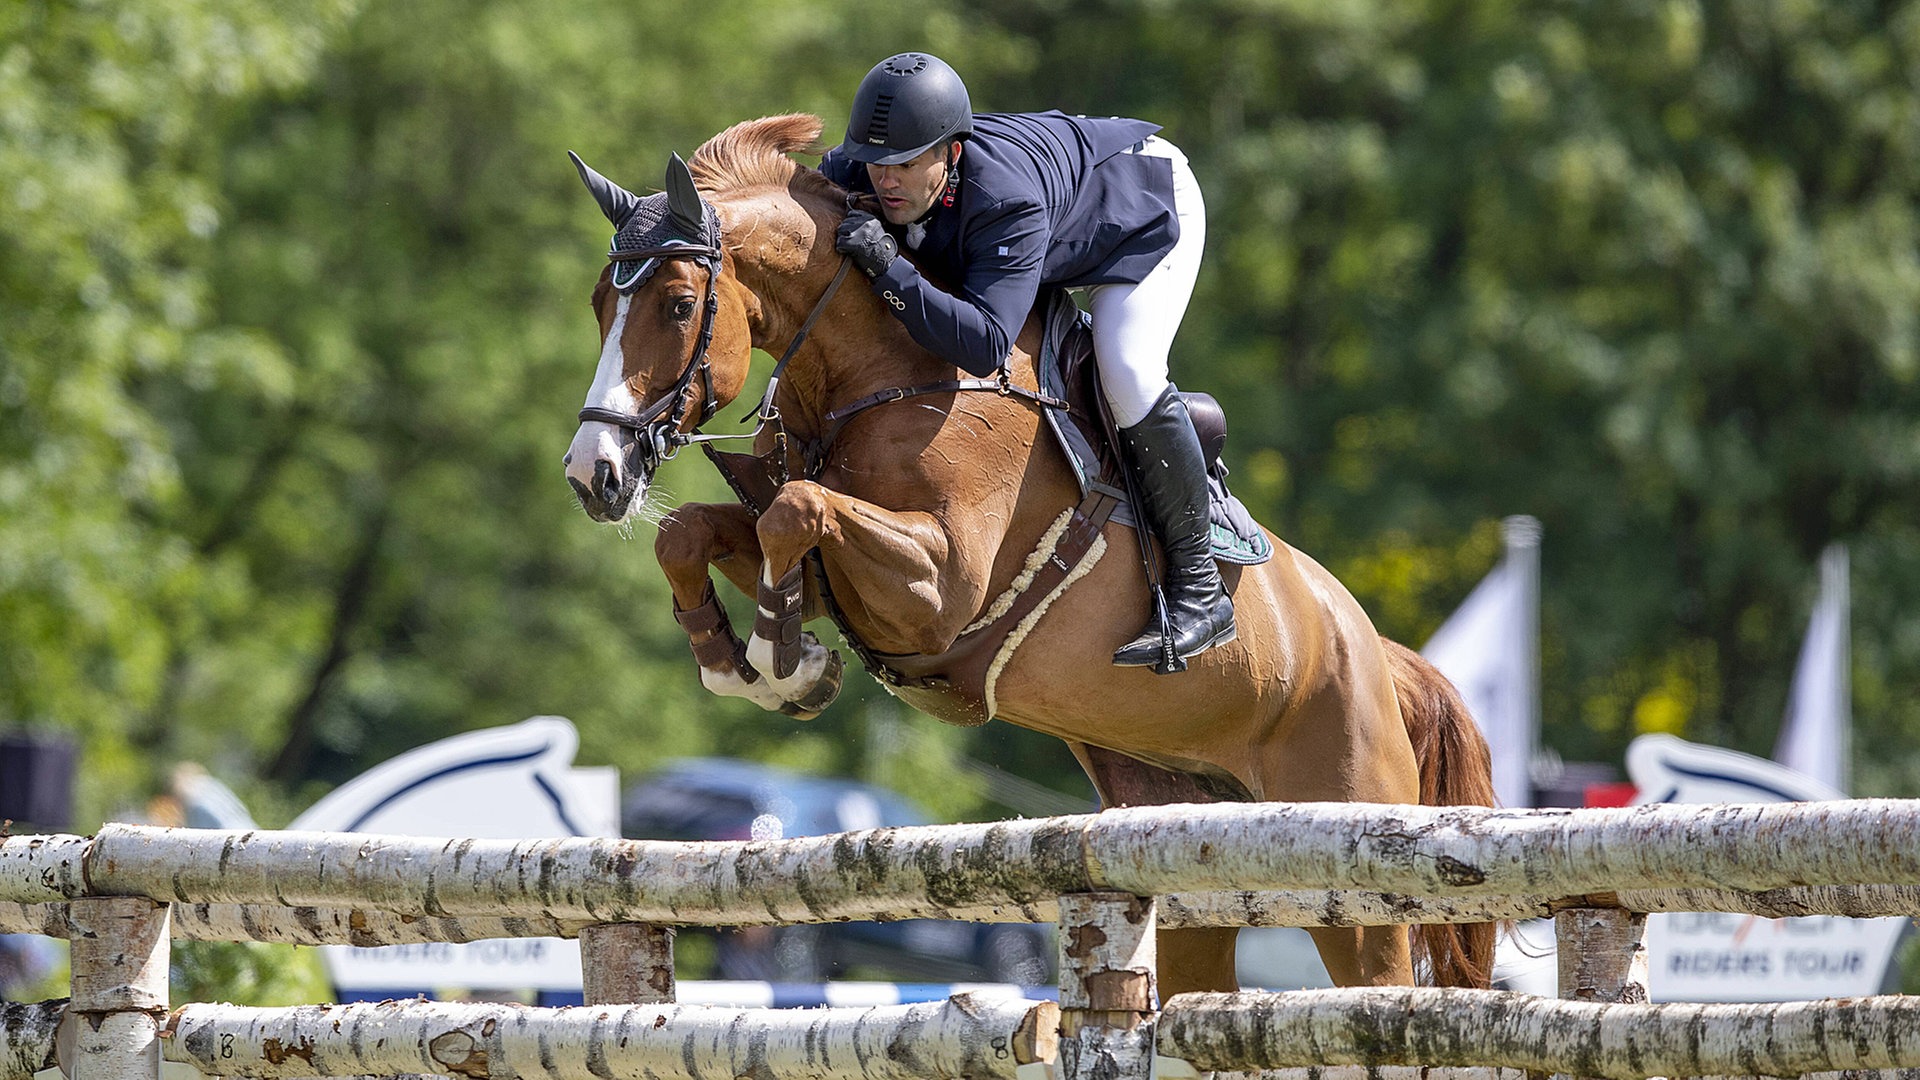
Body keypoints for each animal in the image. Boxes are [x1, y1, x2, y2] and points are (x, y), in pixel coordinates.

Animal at [560, 111, 1489, 991]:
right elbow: (696, 531)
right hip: (1190, 861)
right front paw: (738, 661)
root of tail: (1375, 652)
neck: (882, 365)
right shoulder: (842, 577)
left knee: (1379, 979)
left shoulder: (940, 588)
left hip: (1349, 856)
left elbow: (797, 509)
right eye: (601, 305)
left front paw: (783, 660)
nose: (592, 476)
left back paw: (1192, 619)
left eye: (679, 305)